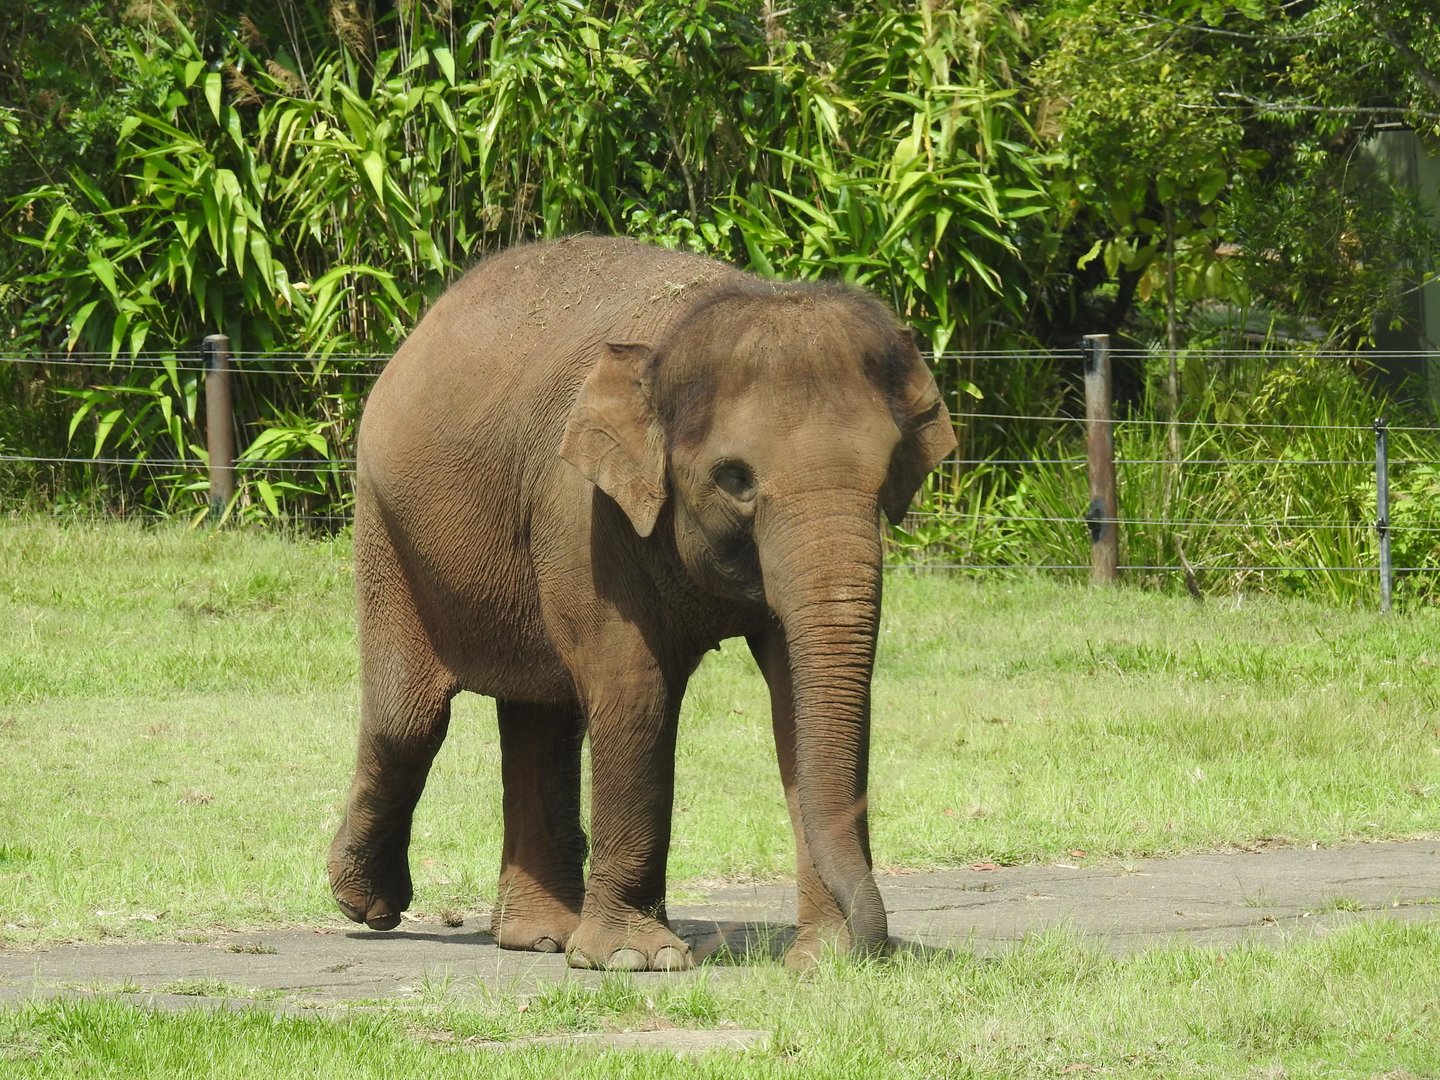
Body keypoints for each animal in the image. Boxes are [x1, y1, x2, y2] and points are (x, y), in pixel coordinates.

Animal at [327, 235, 956, 971]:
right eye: (735, 479)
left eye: (888, 473)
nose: (872, 945)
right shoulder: (584, 512)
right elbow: (635, 687)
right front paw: (636, 960)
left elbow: (795, 696)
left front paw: (822, 960)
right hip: (385, 528)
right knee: (411, 719)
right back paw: (367, 905)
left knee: (541, 714)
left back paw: (539, 937)